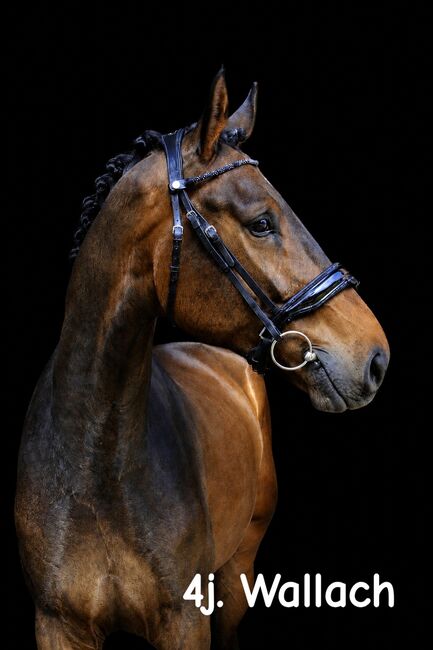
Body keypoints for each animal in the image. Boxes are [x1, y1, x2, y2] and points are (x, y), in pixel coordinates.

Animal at [16, 69, 389, 649]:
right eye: (261, 223)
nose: (375, 357)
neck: (95, 464)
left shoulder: (185, 621)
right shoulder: (57, 624)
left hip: (237, 574)